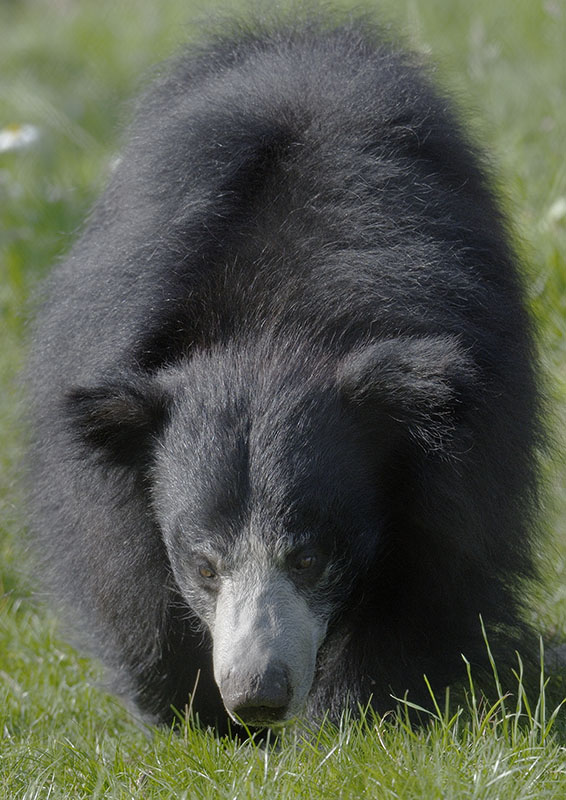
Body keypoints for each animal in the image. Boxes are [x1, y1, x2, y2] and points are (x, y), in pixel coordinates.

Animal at [27, 9, 543, 732]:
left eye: (308, 557)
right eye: (204, 566)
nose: (257, 698)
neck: (271, 326)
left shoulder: (469, 440)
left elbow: (436, 565)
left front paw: (361, 715)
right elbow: (122, 572)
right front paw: (188, 716)